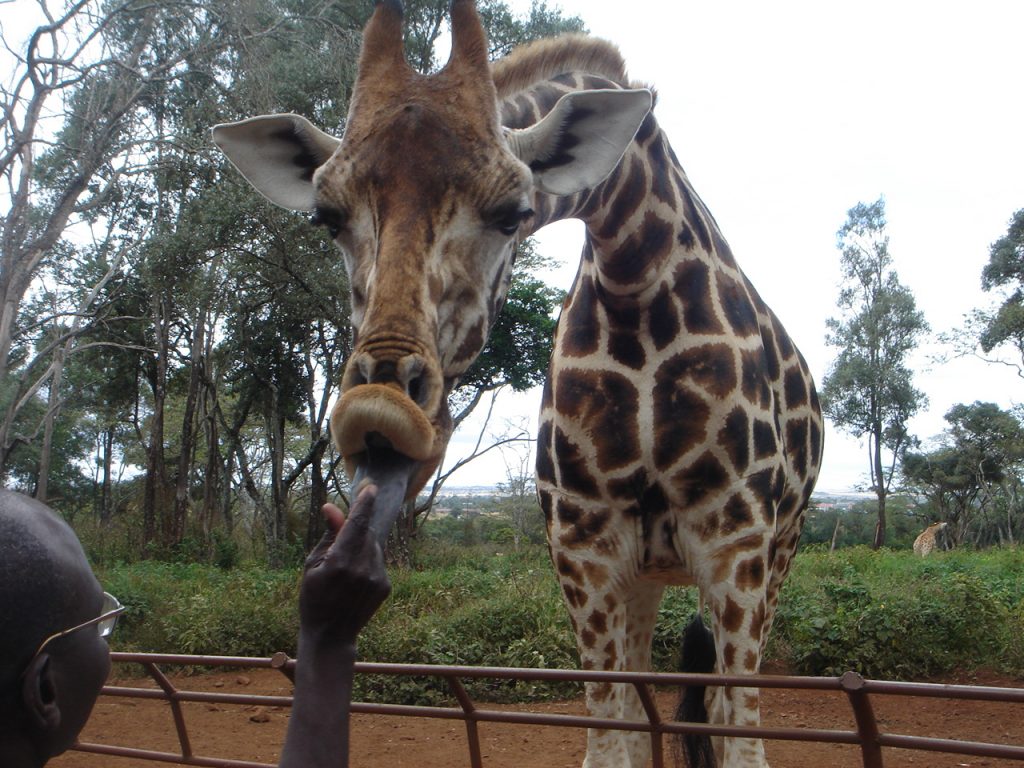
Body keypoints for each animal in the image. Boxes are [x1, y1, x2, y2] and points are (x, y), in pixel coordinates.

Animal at [214, 3, 823, 765]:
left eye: (512, 212)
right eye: (327, 216)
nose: (379, 407)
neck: (635, 288)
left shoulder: (734, 540)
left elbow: (738, 734)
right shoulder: (583, 544)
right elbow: (613, 735)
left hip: (781, 549)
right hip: (651, 572)